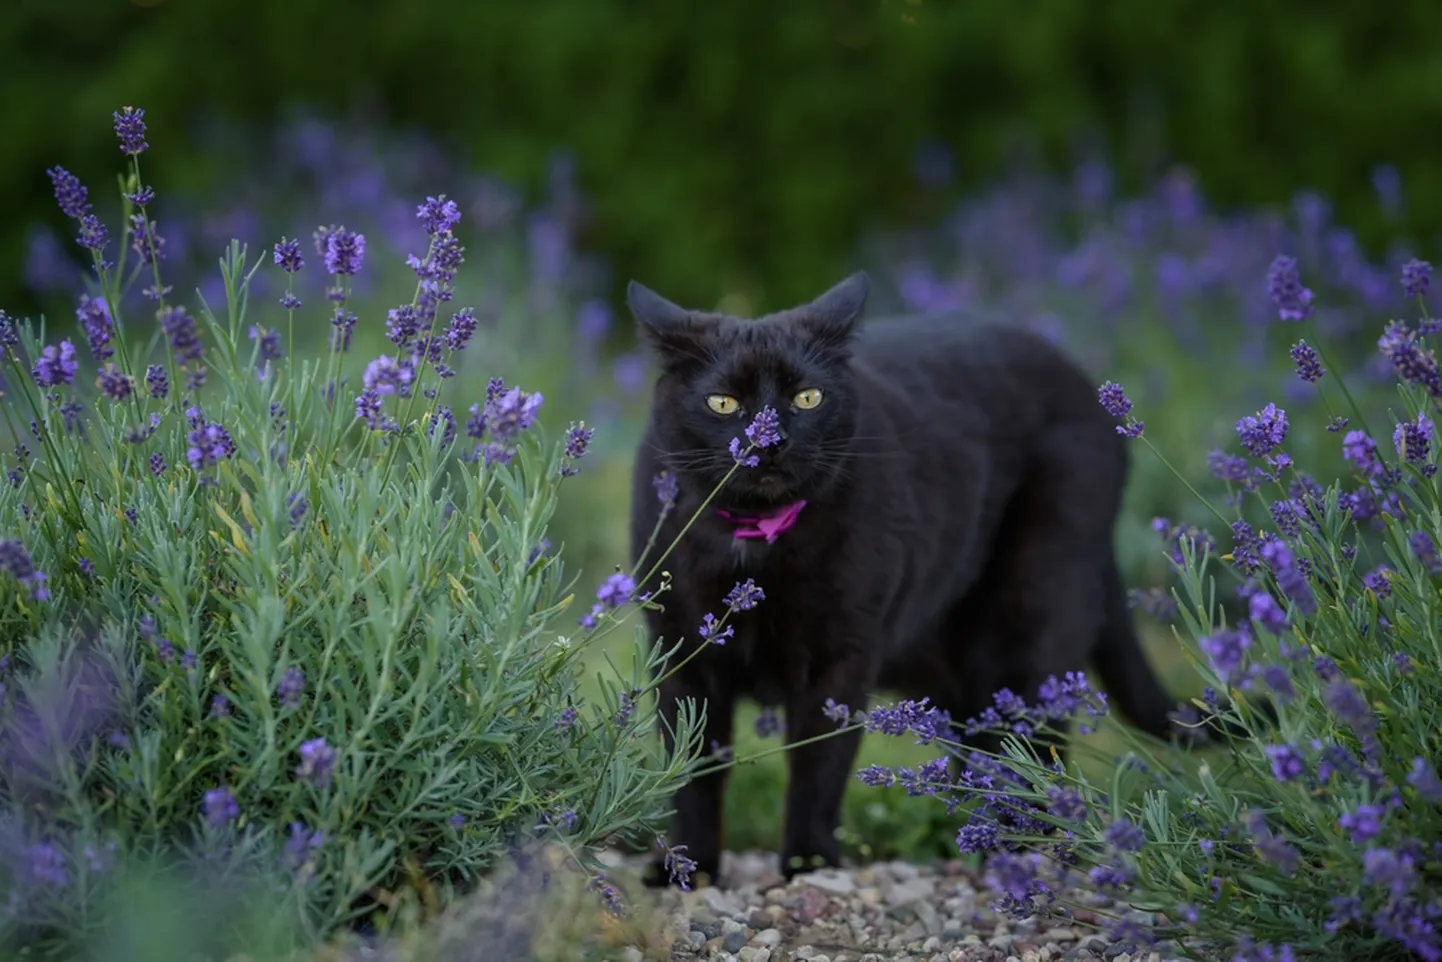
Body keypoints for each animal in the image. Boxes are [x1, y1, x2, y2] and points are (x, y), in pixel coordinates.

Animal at [631, 271, 1182, 888]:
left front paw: (808, 864)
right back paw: (975, 832)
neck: (755, 544)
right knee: (982, 739)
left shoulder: (839, 660)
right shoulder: (683, 654)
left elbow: (817, 767)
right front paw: (687, 869)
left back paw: (1014, 847)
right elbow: (693, 769)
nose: (766, 442)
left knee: (1030, 745)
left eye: (807, 398)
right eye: (723, 403)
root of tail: (1083, 381)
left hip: (1034, 617)